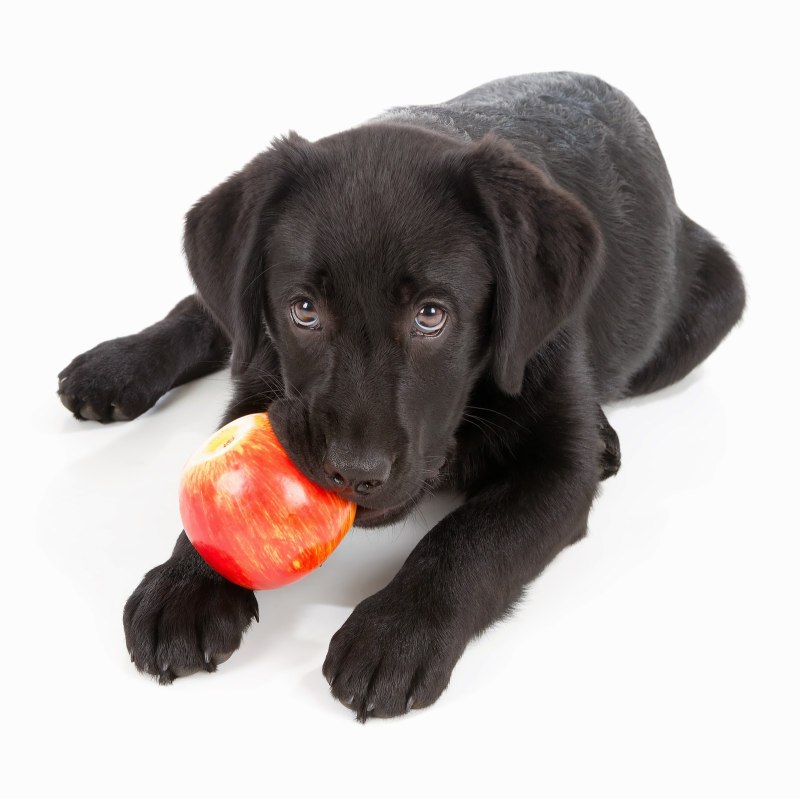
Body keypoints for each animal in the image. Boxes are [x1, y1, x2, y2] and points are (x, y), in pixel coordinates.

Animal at [56, 73, 744, 720]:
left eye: (431, 316)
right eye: (304, 309)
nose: (354, 474)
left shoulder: (558, 468)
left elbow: (471, 538)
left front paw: (395, 632)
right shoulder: (265, 381)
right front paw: (185, 582)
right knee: (208, 310)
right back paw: (114, 367)